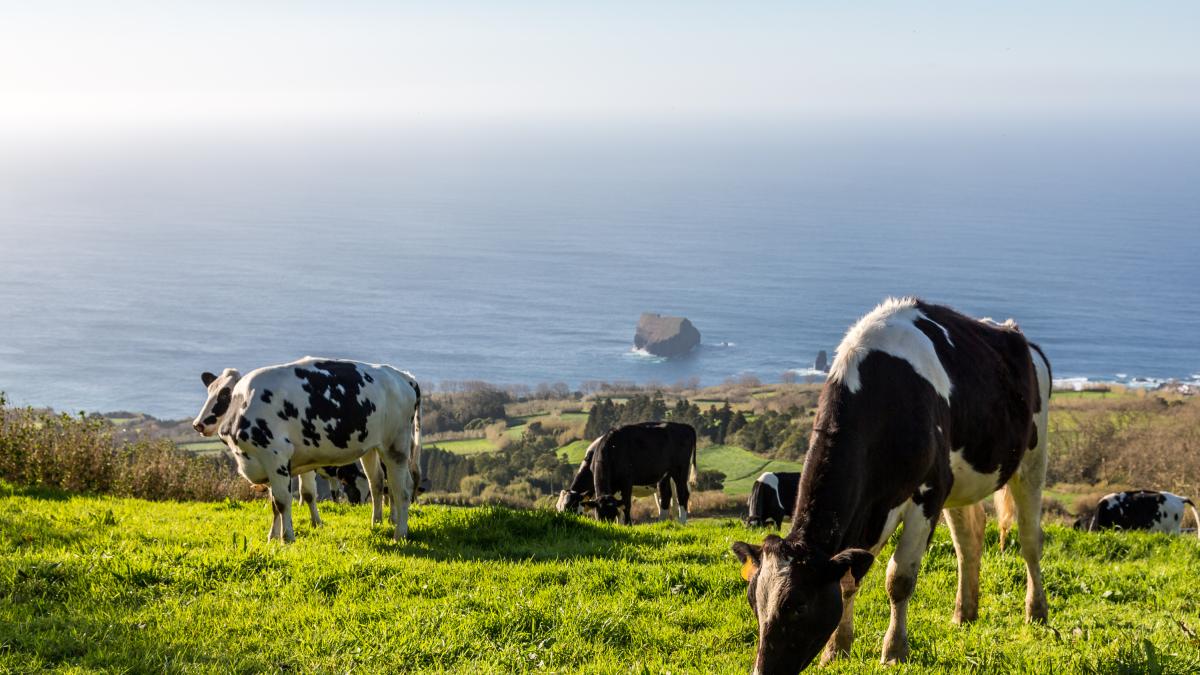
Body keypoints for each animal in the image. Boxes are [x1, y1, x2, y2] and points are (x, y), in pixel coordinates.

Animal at [192, 357, 422, 540]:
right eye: (210, 391)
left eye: (225, 394)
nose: (198, 424)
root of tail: (403, 376)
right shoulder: (268, 465)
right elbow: (274, 504)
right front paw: (272, 537)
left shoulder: (276, 456)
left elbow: (283, 501)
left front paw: (287, 538)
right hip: (373, 448)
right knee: (378, 484)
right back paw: (377, 523)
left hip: (396, 447)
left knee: (401, 490)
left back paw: (399, 534)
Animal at [556, 420, 700, 526]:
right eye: (561, 509)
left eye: (574, 509)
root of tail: (684, 426)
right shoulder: (613, 487)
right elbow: (620, 506)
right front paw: (620, 524)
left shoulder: (626, 481)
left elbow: (625, 504)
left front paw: (627, 524)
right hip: (664, 474)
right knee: (666, 496)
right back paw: (662, 523)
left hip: (680, 470)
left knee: (682, 494)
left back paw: (682, 522)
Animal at [729, 296, 1051, 667]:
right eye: (754, 603)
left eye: (798, 606)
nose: (762, 670)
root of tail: (1018, 337)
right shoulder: (874, 508)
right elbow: (849, 581)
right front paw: (836, 650)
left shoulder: (927, 493)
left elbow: (899, 578)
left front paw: (894, 650)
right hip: (958, 480)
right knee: (968, 541)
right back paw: (964, 614)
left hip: (1032, 458)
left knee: (1030, 539)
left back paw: (1037, 612)